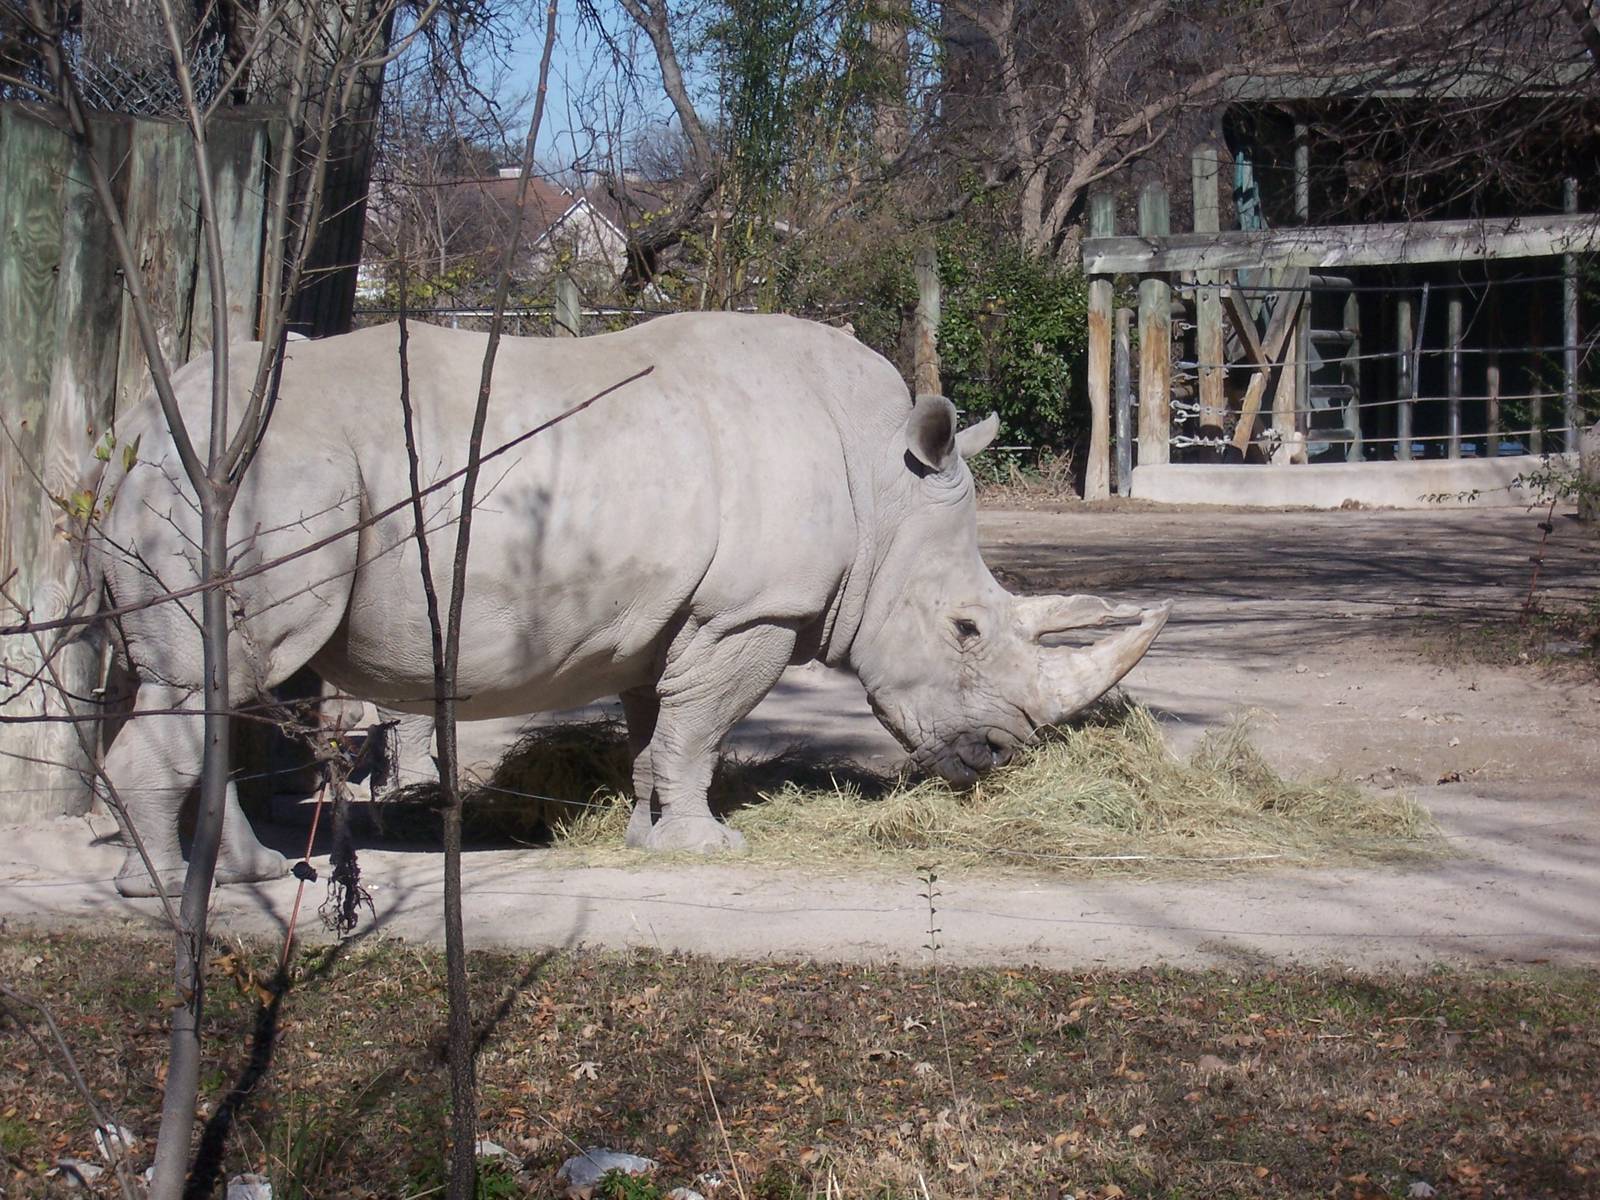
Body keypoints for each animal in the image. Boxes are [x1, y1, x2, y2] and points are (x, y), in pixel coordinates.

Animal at [87, 313, 1170, 896]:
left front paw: (652, 839)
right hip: (266, 477)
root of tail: (134, 423)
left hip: (219, 474)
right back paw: (176, 889)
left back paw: (229, 877)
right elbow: (700, 730)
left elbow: (664, 729)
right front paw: (712, 847)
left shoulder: (682, 615)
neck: (881, 488)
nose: (998, 756)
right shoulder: (752, 611)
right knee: (217, 676)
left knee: (204, 686)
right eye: (965, 629)